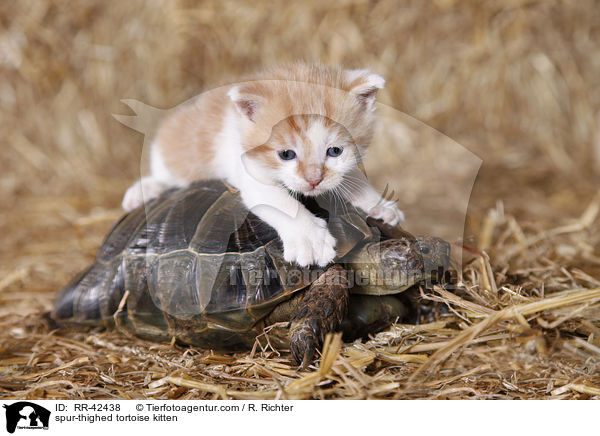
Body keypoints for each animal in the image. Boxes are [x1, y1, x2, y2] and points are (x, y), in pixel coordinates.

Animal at [52, 181, 450, 368]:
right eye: (418, 252)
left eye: (429, 247)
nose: (443, 250)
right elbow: (329, 285)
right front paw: (305, 344)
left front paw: (435, 305)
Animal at [122, 61, 404, 266]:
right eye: (286, 154)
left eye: (335, 151)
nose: (313, 180)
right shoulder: (250, 173)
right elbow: (280, 202)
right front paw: (309, 239)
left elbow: (351, 178)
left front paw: (377, 202)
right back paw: (143, 190)